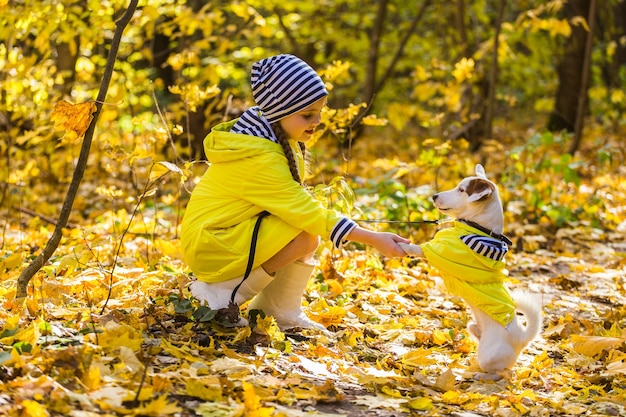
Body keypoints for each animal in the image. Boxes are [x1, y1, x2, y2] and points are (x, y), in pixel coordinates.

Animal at [400, 163, 540, 380]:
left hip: (488, 354)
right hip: (473, 328)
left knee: (504, 373)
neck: (479, 229)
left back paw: (481, 376)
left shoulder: (443, 253)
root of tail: (521, 338)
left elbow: (421, 248)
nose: (434, 196)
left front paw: (403, 246)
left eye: (461, 190)